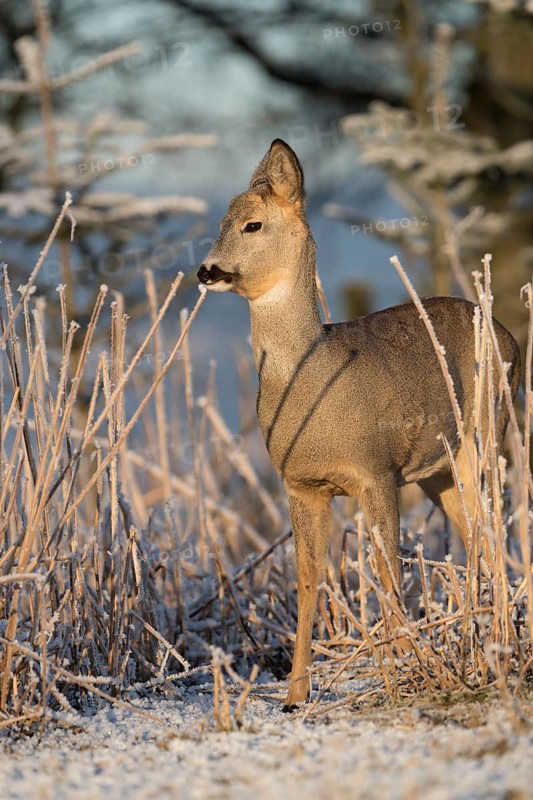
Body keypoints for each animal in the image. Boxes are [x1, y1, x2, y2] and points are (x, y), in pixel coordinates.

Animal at [197, 138, 521, 711]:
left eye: (253, 225)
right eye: (220, 222)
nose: (206, 271)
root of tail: (512, 338)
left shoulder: (377, 471)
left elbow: (387, 571)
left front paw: (403, 670)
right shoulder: (301, 484)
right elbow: (309, 579)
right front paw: (295, 694)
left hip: (486, 431)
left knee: (492, 525)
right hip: (438, 470)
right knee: (474, 533)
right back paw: (482, 630)